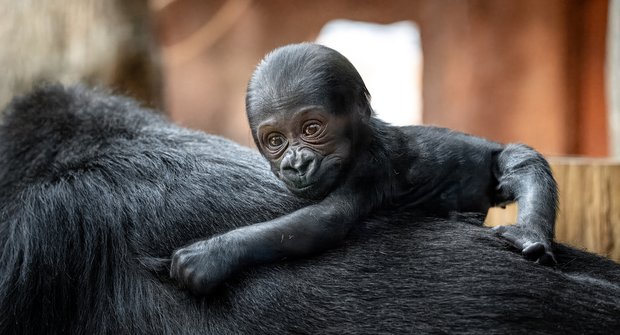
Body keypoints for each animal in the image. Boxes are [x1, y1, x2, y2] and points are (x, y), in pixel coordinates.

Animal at [170, 43, 556, 296]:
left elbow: (322, 222)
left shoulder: (369, 166)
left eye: (312, 129)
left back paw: (529, 233)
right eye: (276, 140)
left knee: (521, 163)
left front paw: (213, 255)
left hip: (491, 159)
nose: (296, 163)